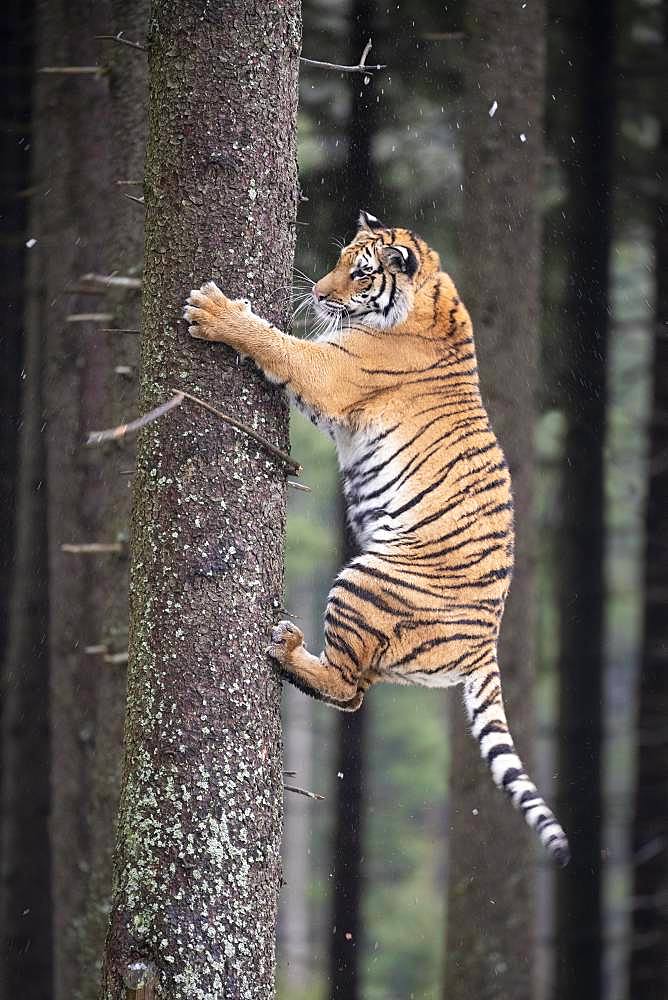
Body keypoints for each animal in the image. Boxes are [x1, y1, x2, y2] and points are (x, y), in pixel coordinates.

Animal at [185, 207, 572, 864]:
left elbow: (276, 342)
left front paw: (214, 311)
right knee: (358, 689)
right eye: (340, 259)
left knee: (348, 688)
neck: (430, 298)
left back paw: (286, 647)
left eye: (361, 272)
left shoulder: (331, 370)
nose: (318, 293)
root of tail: (487, 643)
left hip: (366, 580)